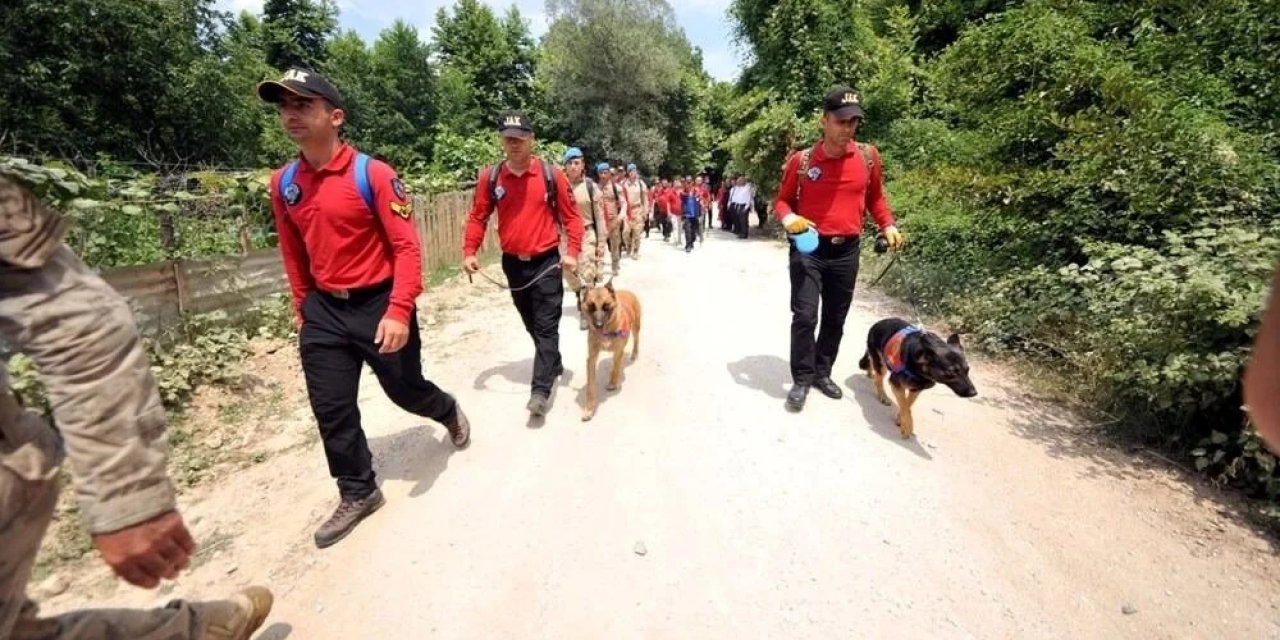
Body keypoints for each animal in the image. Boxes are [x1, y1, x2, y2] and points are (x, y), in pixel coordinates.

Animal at [578, 279, 640, 419]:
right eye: (591, 306)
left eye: (606, 306)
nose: (598, 325)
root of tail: (627, 291)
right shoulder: (591, 358)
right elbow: (591, 386)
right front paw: (589, 409)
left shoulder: (618, 351)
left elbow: (616, 368)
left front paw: (613, 382)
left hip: (636, 328)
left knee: (636, 340)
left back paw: (634, 354)